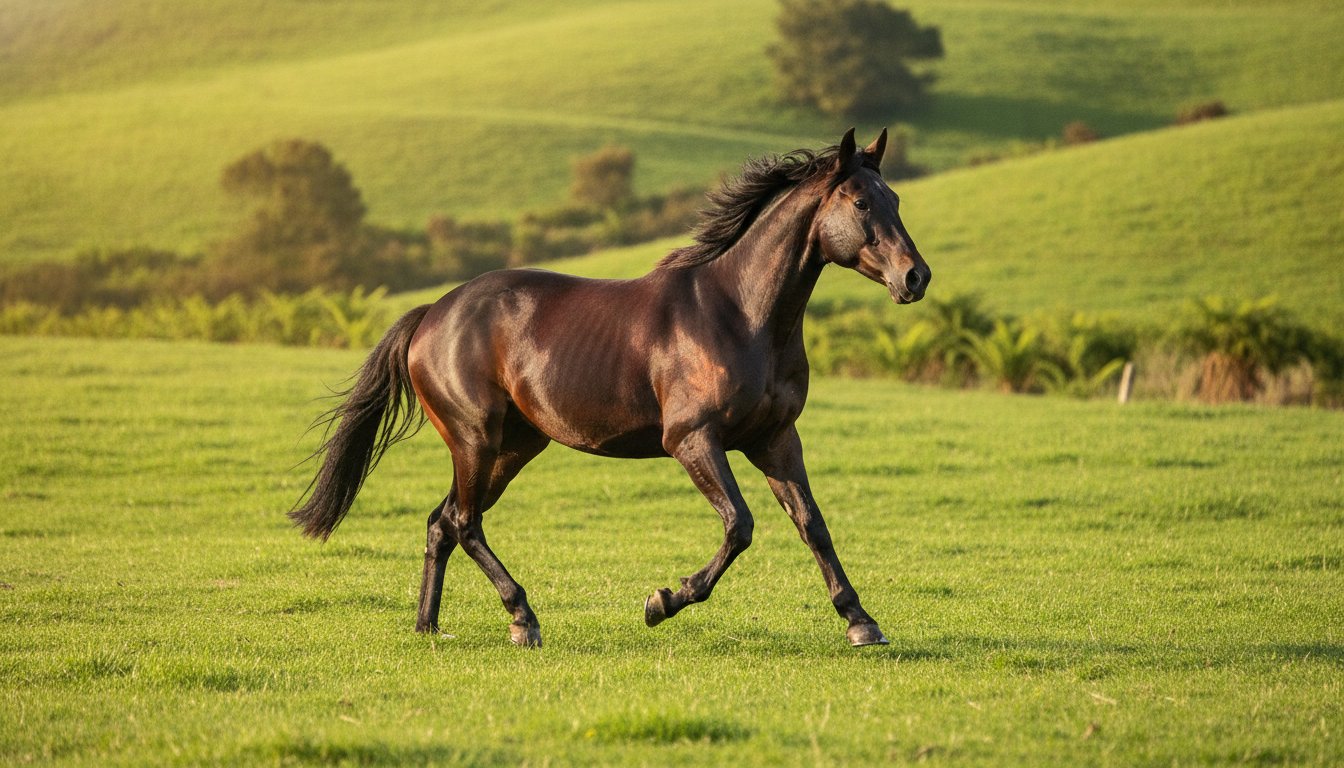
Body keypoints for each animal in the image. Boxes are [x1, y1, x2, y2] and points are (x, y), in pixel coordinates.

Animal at [290, 129, 931, 648]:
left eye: (896, 199)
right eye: (860, 201)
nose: (915, 277)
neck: (740, 314)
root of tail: (431, 315)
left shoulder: (775, 439)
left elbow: (813, 525)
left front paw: (861, 623)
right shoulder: (692, 440)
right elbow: (739, 525)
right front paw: (662, 602)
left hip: (514, 447)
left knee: (442, 521)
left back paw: (429, 626)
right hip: (475, 440)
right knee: (465, 523)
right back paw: (523, 620)